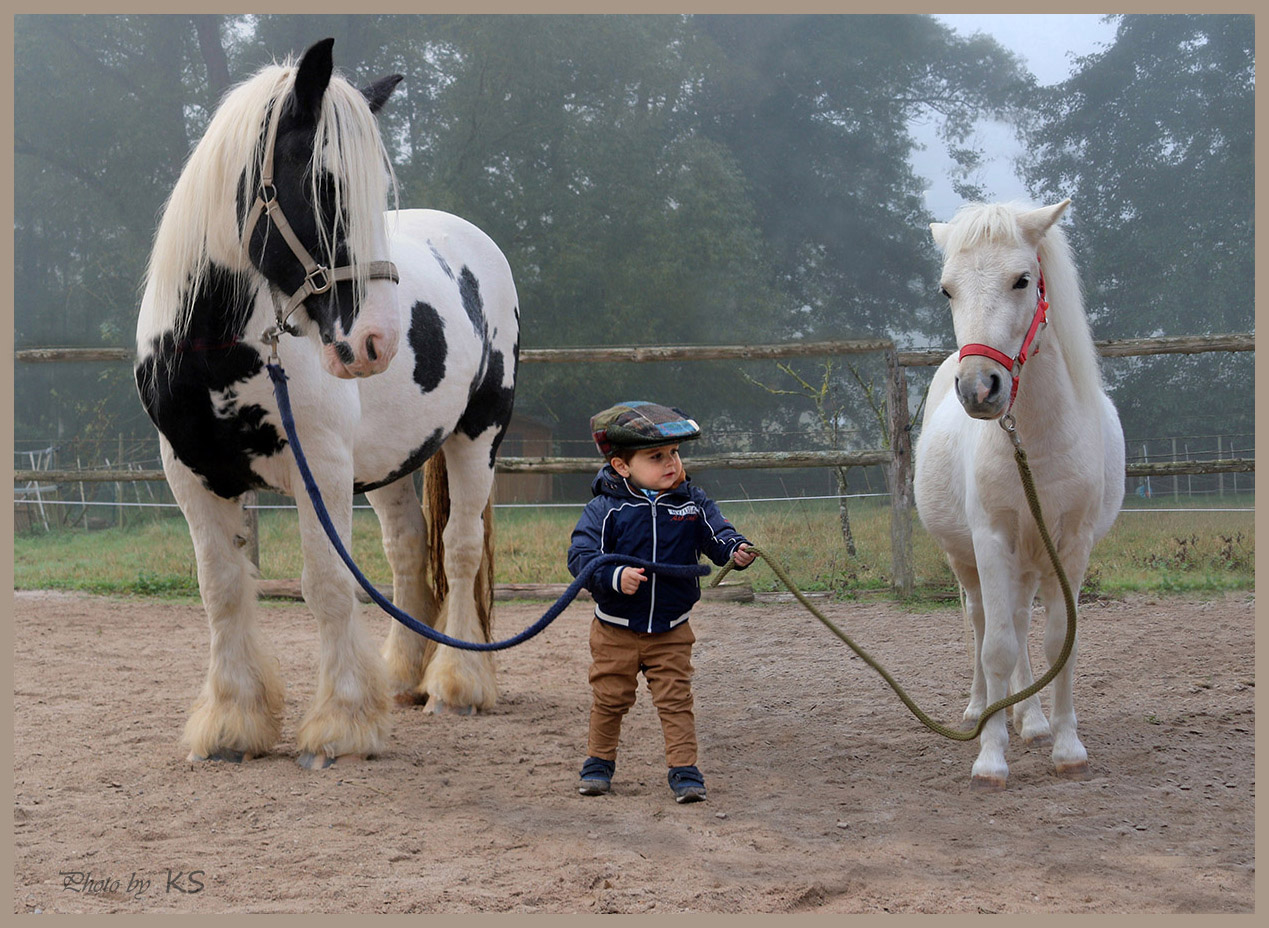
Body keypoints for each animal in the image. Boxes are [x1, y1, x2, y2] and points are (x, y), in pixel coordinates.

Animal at [136, 39, 517, 771]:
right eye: (323, 183)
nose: (376, 342)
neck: (214, 350)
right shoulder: (191, 474)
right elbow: (222, 590)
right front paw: (231, 724)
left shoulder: (321, 469)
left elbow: (330, 585)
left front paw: (341, 723)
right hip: (390, 463)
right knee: (407, 549)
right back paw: (402, 677)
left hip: (478, 434)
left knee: (457, 548)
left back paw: (457, 685)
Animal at [913, 199, 1131, 787]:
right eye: (946, 290)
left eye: (1023, 280)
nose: (978, 388)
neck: (1033, 439)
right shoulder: (992, 540)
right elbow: (997, 646)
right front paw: (990, 757)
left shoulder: (1071, 545)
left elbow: (1059, 643)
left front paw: (1066, 747)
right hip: (966, 558)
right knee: (984, 622)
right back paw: (981, 709)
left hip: (1033, 561)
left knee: (1021, 622)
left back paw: (1029, 719)